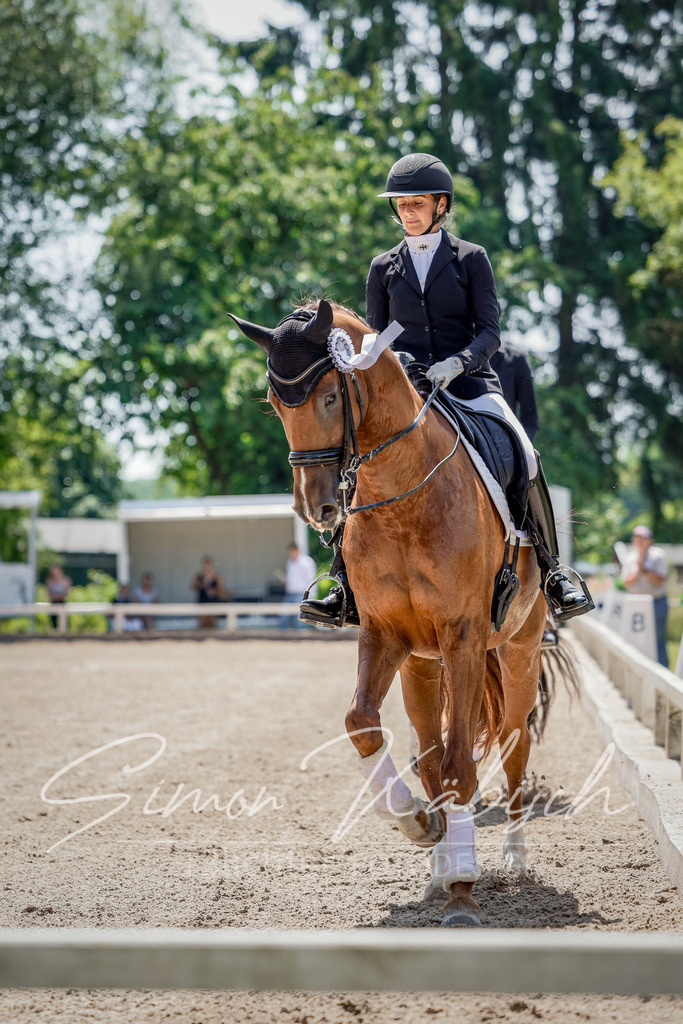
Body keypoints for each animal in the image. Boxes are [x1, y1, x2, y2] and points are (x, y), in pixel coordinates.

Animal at [231, 298, 554, 927]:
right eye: (277, 405)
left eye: (331, 397)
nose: (315, 507)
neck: (402, 495)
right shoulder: (384, 635)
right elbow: (363, 723)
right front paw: (420, 826)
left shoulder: (463, 637)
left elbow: (460, 764)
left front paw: (464, 892)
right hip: (422, 666)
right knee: (428, 753)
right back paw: (438, 862)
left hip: (517, 651)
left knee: (511, 743)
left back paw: (513, 857)